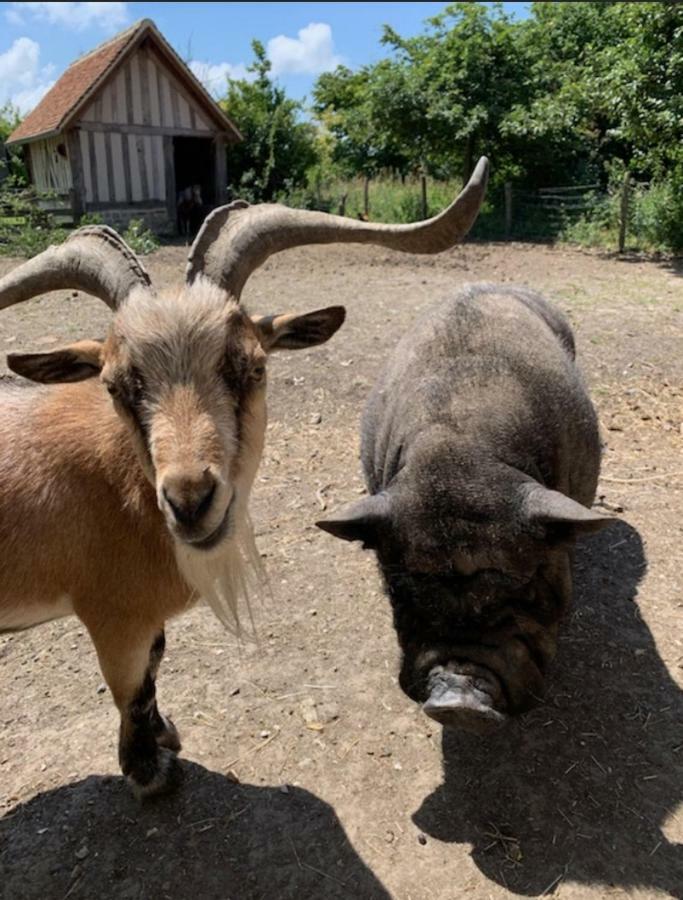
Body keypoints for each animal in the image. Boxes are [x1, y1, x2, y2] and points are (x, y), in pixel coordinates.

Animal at [0, 160, 492, 796]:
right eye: (113, 386)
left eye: (253, 366)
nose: (190, 501)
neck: (116, 485)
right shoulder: (112, 615)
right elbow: (131, 686)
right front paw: (148, 771)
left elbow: (154, 667)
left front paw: (164, 736)